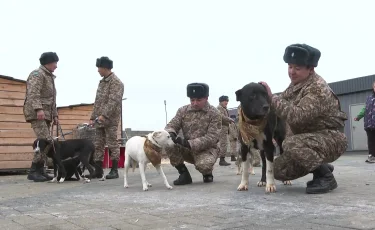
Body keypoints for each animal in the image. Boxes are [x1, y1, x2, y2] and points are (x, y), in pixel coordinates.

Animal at [260, 43, 348, 194]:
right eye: (291, 66)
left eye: (297, 67)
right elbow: (265, 163)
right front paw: (264, 181)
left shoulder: (315, 92)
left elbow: (299, 113)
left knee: (294, 149)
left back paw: (323, 180)